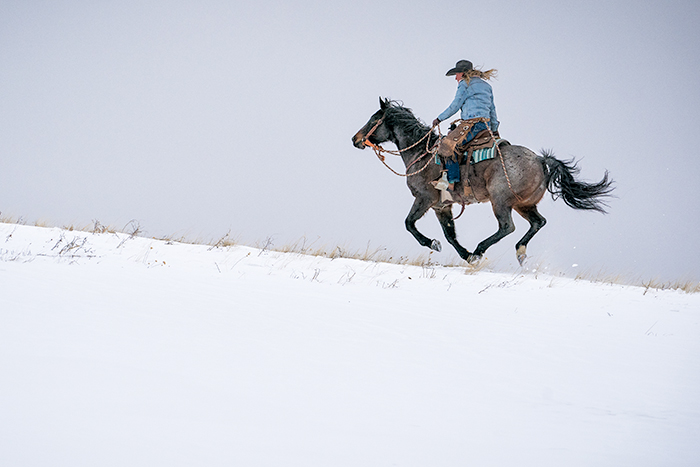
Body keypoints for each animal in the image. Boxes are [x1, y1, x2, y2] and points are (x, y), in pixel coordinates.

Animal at [350, 98, 612, 266]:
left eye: (374, 119)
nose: (355, 139)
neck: (422, 154)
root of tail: (540, 159)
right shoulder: (442, 206)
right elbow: (450, 235)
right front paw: (464, 255)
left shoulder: (425, 199)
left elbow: (409, 224)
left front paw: (435, 244)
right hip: (524, 204)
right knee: (538, 222)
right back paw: (519, 252)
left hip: (501, 201)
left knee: (507, 227)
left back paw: (480, 249)